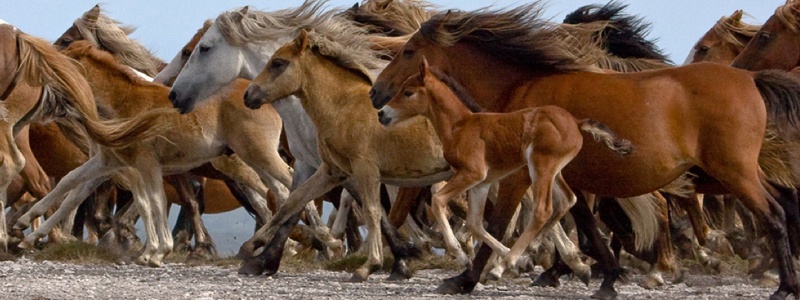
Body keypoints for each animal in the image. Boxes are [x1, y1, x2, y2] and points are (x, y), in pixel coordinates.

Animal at [241, 29, 454, 282]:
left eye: (278, 63)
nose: (248, 95)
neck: (343, 107)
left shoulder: (365, 168)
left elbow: (372, 212)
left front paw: (370, 265)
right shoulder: (332, 171)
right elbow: (293, 201)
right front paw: (251, 247)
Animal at [370, 3, 800, 298]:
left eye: (409, 51)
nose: (376, 94)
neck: (523, 87)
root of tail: (751, 79)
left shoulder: (520, 176)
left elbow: (499, 222)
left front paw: (469, 276)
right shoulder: (565, 176)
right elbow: (586, 224)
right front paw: (603, 276)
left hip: (734, 172)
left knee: (774, 214)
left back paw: (782, 286)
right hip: (745, 171)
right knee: (784, 204)